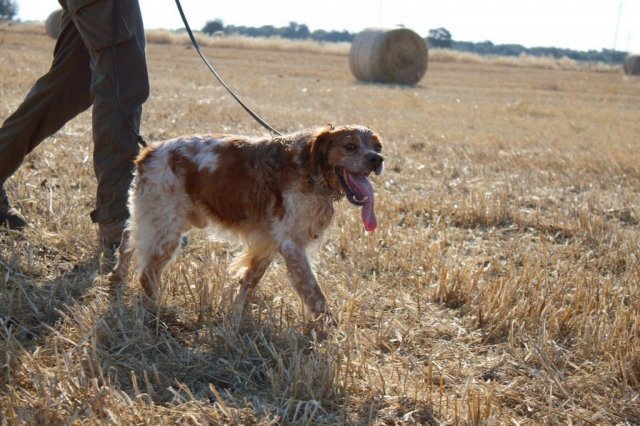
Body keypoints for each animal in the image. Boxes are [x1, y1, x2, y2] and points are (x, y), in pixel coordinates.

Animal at [107, 125, 382, 322]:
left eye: (376, 146)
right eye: (350, 146)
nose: (377, 159)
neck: (309, 167)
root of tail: (149, 151)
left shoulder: (269, 242)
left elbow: (250, 280)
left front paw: (237, 314)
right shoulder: (291, 243)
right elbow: (315, 294)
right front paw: (331, 333)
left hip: (156, 218)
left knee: (127, 241)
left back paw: (116, 281)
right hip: (165, 227)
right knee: (147, 273)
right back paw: (157, 311)